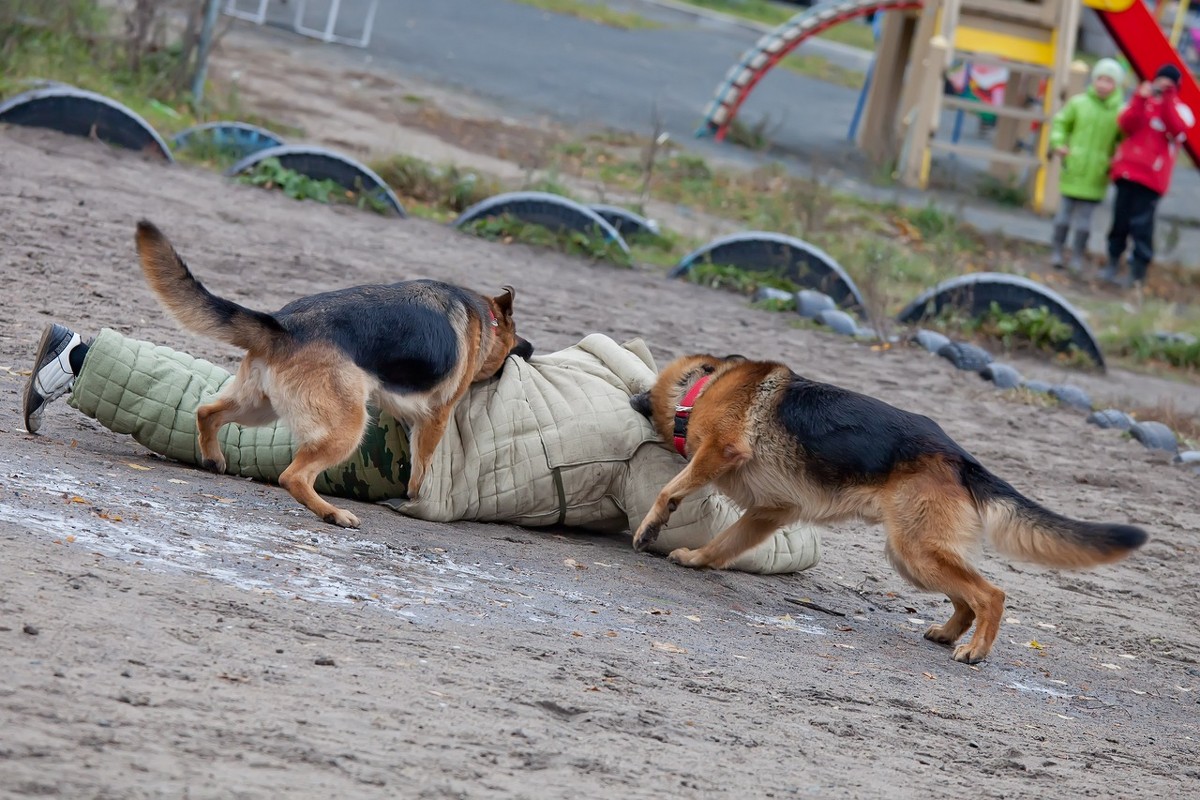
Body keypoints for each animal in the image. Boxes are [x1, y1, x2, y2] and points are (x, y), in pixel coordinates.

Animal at [133, 221, 528, 527]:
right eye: (514, 338)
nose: (529, 348)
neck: (483, 316)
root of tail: (283, 325)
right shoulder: (437, 415)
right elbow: (423, 465)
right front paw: (417, 497)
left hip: (259, 407)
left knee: (206, 412)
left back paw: (214, 458)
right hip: (347, 426)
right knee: (292, 476)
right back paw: (333, 514)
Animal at [628, 357, 1142, 662]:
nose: (634, 400)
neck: (703, 388)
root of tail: (960, 458)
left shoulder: (719, 451)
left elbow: (670, 490)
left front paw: (651, 528)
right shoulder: (769, 513)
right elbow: (723, 543)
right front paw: (696, 559)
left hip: (915, 552)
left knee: (991, 594)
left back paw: (975, 650)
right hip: (913, 557)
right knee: (967, 597)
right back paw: (949, 634)